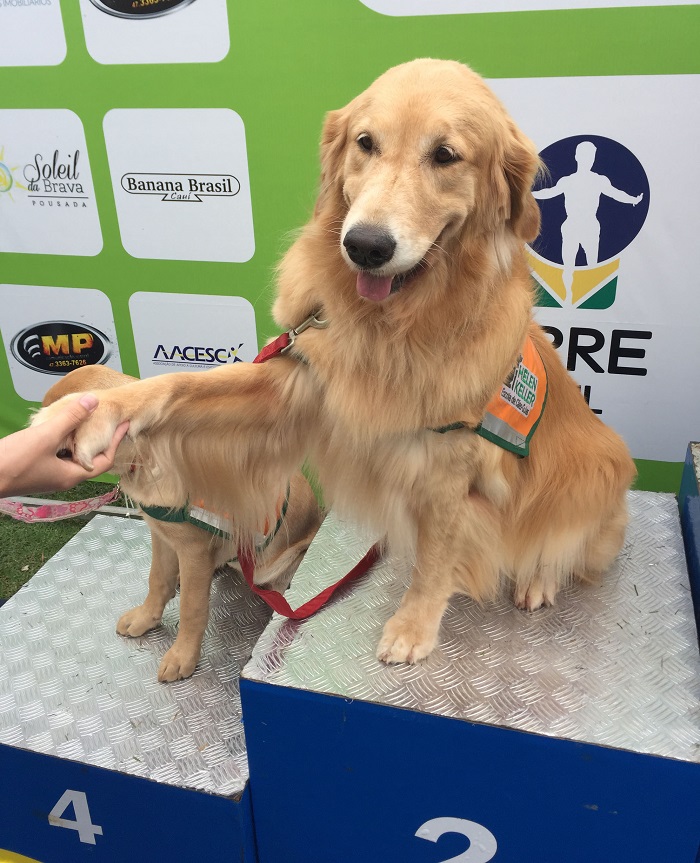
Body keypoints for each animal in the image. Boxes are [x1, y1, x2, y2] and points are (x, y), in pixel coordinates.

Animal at [38, 364, 322, 680]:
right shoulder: (162, 535)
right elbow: (157, 579)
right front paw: (146, 617)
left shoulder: (193, 549)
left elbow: (192, 608)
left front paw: (183, 655)